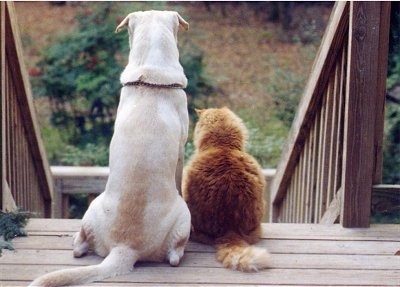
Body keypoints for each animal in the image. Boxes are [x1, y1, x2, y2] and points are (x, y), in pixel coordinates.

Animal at [30, 10, 190, 286]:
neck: (150, 80)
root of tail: (124, 248)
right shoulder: (181, 149)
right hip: (184, 216)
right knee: (173, 257)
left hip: (91, 209)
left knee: (79, 247)